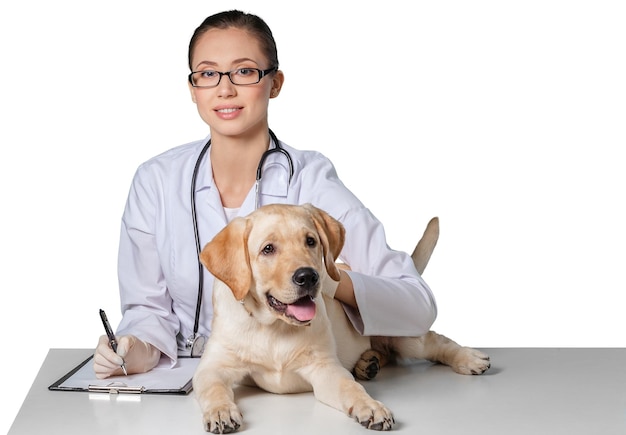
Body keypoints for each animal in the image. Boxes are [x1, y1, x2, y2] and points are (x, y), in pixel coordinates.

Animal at [193, 204, 490, 432]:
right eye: (268, 249)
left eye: (310, 241)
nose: (309, 277)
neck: (274, 327)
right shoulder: (212, 368)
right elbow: (214, 389)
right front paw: (220, 411)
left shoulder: (325, 368)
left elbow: (350, 387)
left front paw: (371, 407)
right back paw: (368, 363)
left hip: (403, 330)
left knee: (435, 342)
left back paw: (468, 358)